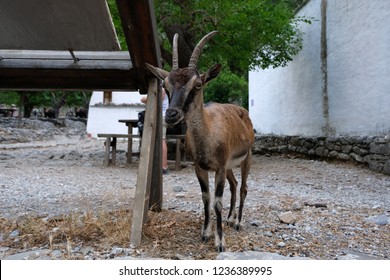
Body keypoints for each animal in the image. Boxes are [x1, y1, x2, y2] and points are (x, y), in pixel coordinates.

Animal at [145, 30, 254, 252]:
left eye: (197, 84)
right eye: (165, 85)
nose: (171, 114)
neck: (208, 134)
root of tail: (243, 112)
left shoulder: (219, 167)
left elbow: (217, 202)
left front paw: (220, 242)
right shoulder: (200, 167)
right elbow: (206, 198)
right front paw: (205, 233)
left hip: (247, 157)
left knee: (244, 187)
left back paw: (238, 222)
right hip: (229, 167)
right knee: (234, 184)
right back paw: (230, 219)